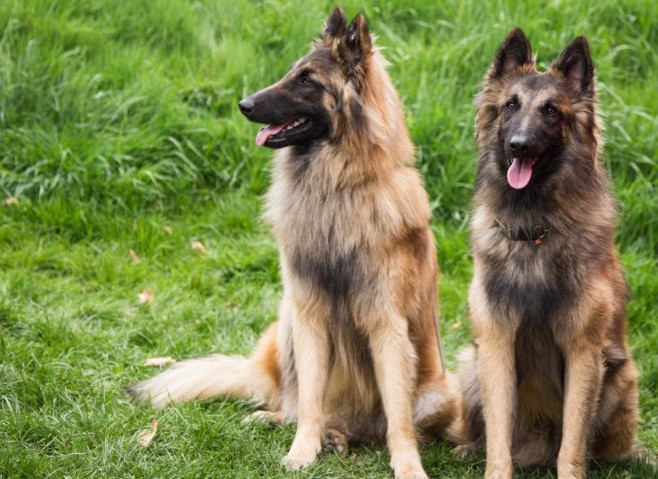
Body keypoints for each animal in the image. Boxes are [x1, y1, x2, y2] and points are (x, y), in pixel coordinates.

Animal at [129, 8, 456, 479]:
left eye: (307, 80)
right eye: (290, 73)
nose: (244, 104)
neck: (335, 187)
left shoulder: (387, 325)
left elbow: (398, 415)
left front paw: (408, 465)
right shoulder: (308, 313)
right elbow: (310, 399)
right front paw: (303, 451)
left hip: (441, 394)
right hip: (283, 324)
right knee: (292, 403)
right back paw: (298, 426)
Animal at [448, 29, 640, 479]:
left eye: (551, 111)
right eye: (510, 106)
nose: (519, 146)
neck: (533, 229)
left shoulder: (584, 351)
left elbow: (573, 440)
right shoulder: (496, 342)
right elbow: (498, 436)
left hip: (621, 376)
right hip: (471, 364)